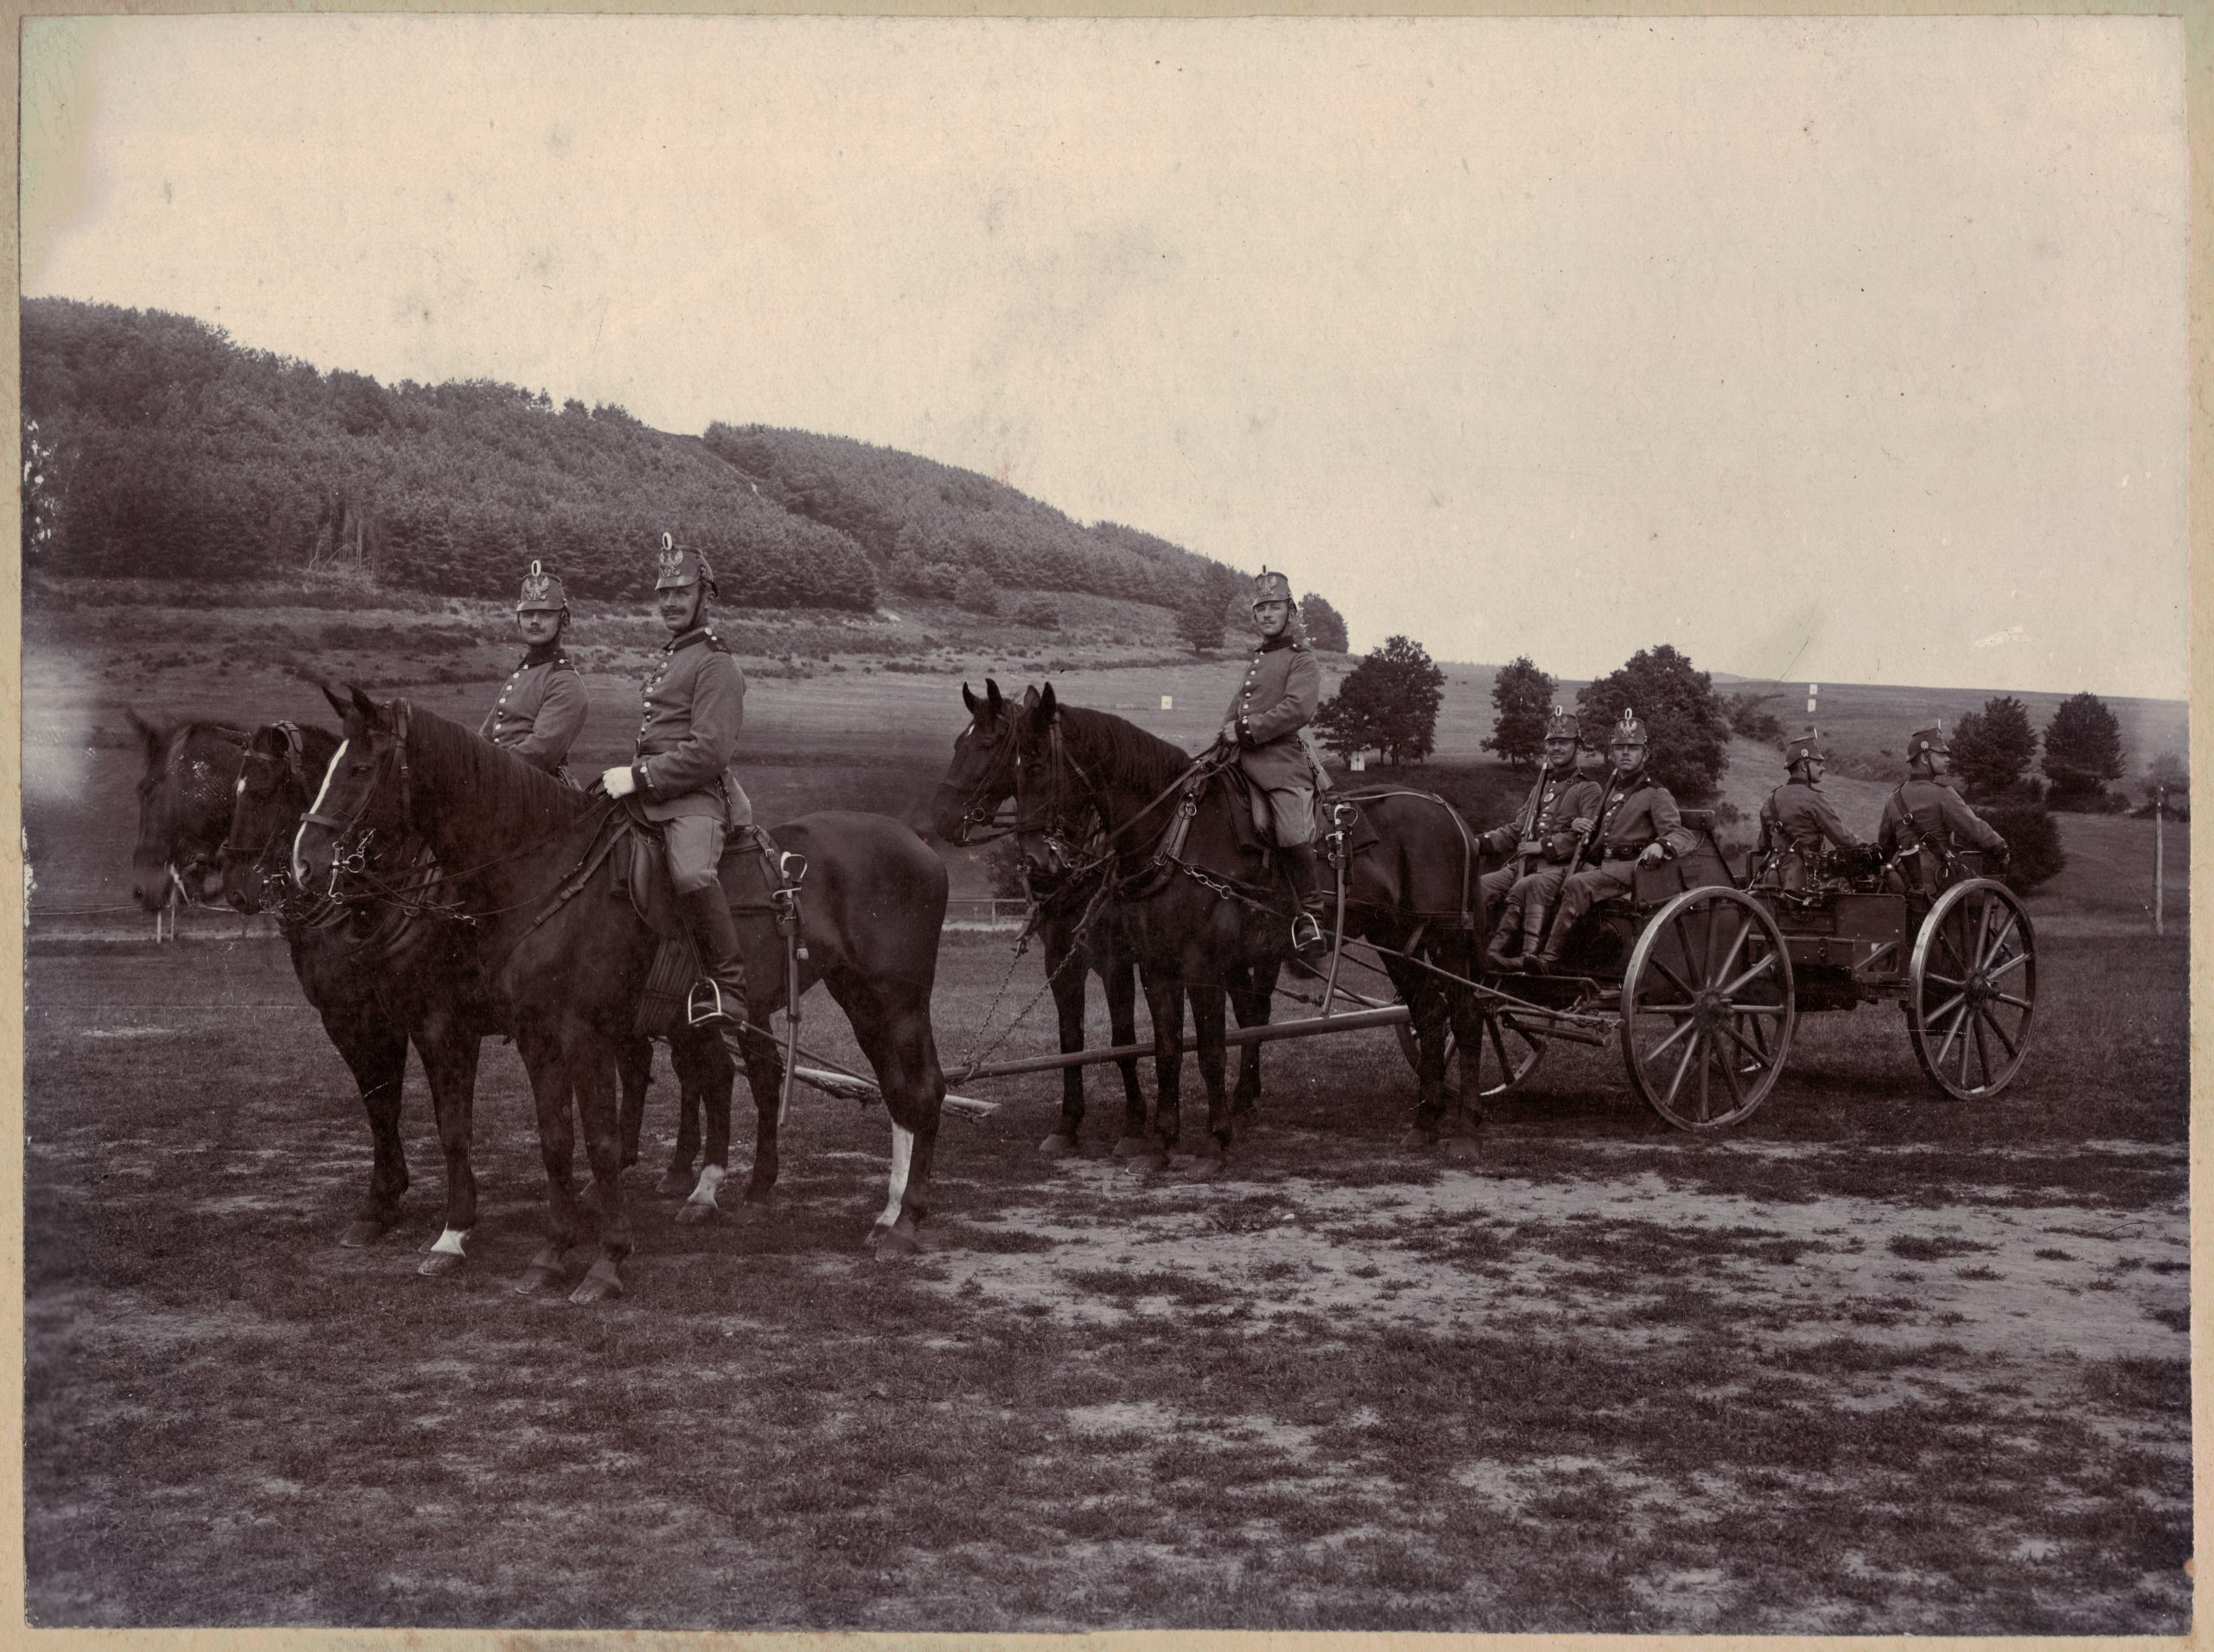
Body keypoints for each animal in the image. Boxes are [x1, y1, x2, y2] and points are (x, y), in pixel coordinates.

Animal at [214, 708, 721, 1258]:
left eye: (264, 788)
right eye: (236, 788)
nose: (238, 888)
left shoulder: (435, 1023)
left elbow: (448, 1123)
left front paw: (450, 1225)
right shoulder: (360, 1019)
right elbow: (381, 1107)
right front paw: (380, 1206)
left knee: (709, 1072)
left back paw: (698, 1183)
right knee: (659, 1066)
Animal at [294, 686, 951, 1293]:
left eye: (359, 768)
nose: (305, 863)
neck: (546, 871)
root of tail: (918, 842)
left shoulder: (567, 1033)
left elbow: (602, 1143)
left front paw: (605, 1261)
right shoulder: (535, 1036)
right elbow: (554, 1141)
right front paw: (549, 1255)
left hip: (897, 999)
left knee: (922, 1089)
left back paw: (906, 1224)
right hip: (860, 1000)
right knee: (890, 1090)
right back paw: (881, 1214)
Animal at [930, 677, 1151, 1151]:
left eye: (987, 744)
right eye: (957, 742)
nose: (940, 816)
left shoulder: (1116, 962)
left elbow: (1123, 1040)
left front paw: (1134, 1124)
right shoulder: (1061, 958)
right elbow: (1071, 1040)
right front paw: (1068, 1123)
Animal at [1014, 682, 1496, 1160]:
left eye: (1036, 765)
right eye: (1012, 766)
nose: (1035, 861)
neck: (1175, 833)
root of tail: (1447, 812)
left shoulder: (1197, 964)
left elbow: (1208, 1048)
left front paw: (1213, 1139)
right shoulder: (1153, 964)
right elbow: (1161, 1046)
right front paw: (1158, 1139)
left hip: (1447, 939)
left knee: (1468, 1014)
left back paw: (1467, 1129)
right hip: (1397, 940)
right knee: (1430, 1014)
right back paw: (1425, 1121)